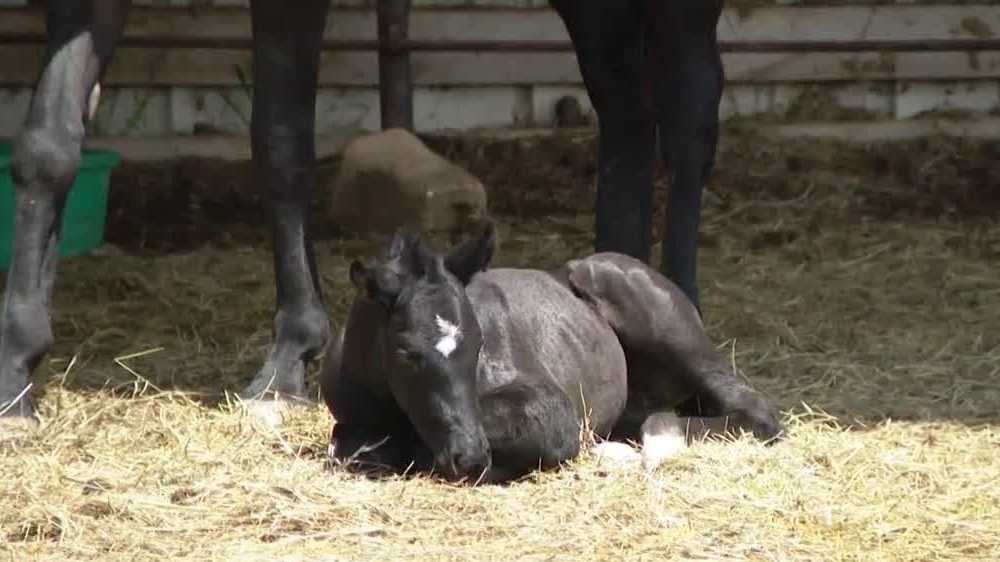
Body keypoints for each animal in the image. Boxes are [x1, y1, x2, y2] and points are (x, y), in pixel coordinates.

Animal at [0, 0, 725, 427]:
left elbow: (280, 139)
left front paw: (288, 358)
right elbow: (49, 143)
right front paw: (17, 368)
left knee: (690, 111)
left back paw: (678, 293)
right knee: (628, 110)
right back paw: (604, 274)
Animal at [322, 225, 781, 484]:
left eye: (480, 344)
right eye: (405, 352)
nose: (468, 456)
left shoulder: (550, 406)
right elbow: (355, 446)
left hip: (673, 337)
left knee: (755, 411)